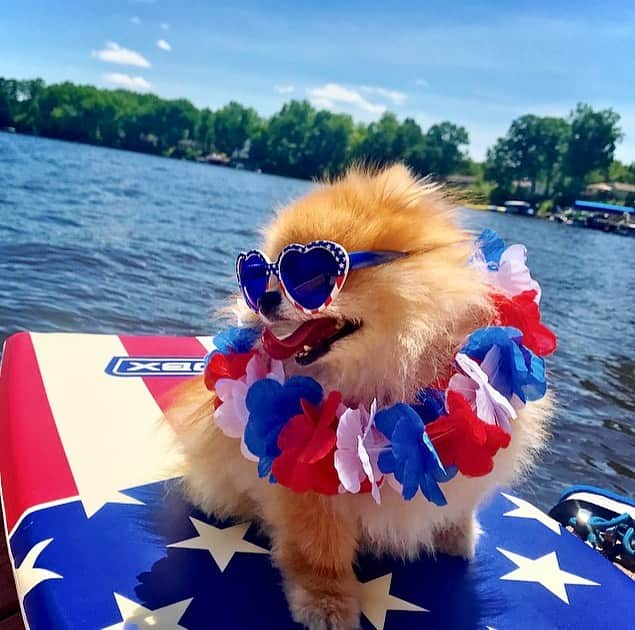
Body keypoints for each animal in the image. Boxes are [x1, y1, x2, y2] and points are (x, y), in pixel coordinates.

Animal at [168, 165, 552, 628]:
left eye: (312, 276)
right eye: (263, 276)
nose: (264, 297)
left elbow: (463, 500)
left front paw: (456, 533)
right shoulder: (307, 483)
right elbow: (320, 549)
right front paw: (327, 601)